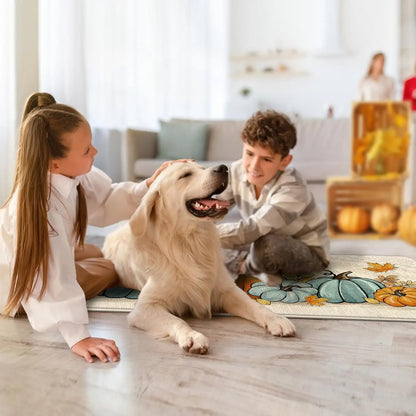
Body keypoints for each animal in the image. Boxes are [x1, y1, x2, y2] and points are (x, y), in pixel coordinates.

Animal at [102, 162, 294, 354]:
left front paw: (276, 319)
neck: (191, 243)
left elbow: (255, 305)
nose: (223, 168)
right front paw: (192, 336)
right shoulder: (144, 307)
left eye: (202, 168)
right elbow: (176, 320)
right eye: (185, 175)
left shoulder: (226, 290)